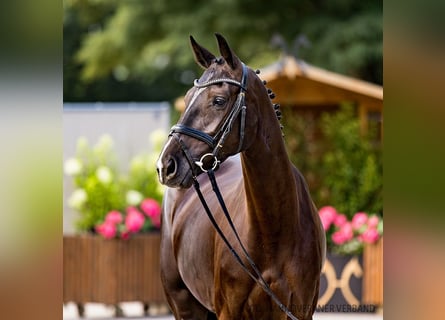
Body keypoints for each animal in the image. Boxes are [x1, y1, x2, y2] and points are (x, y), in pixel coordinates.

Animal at [158, 33, 324, 318]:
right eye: (187, 97)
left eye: (218, 100)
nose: (166, 165)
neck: (274, 231)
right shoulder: (229, 311)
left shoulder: (300, 311)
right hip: (183, 304)